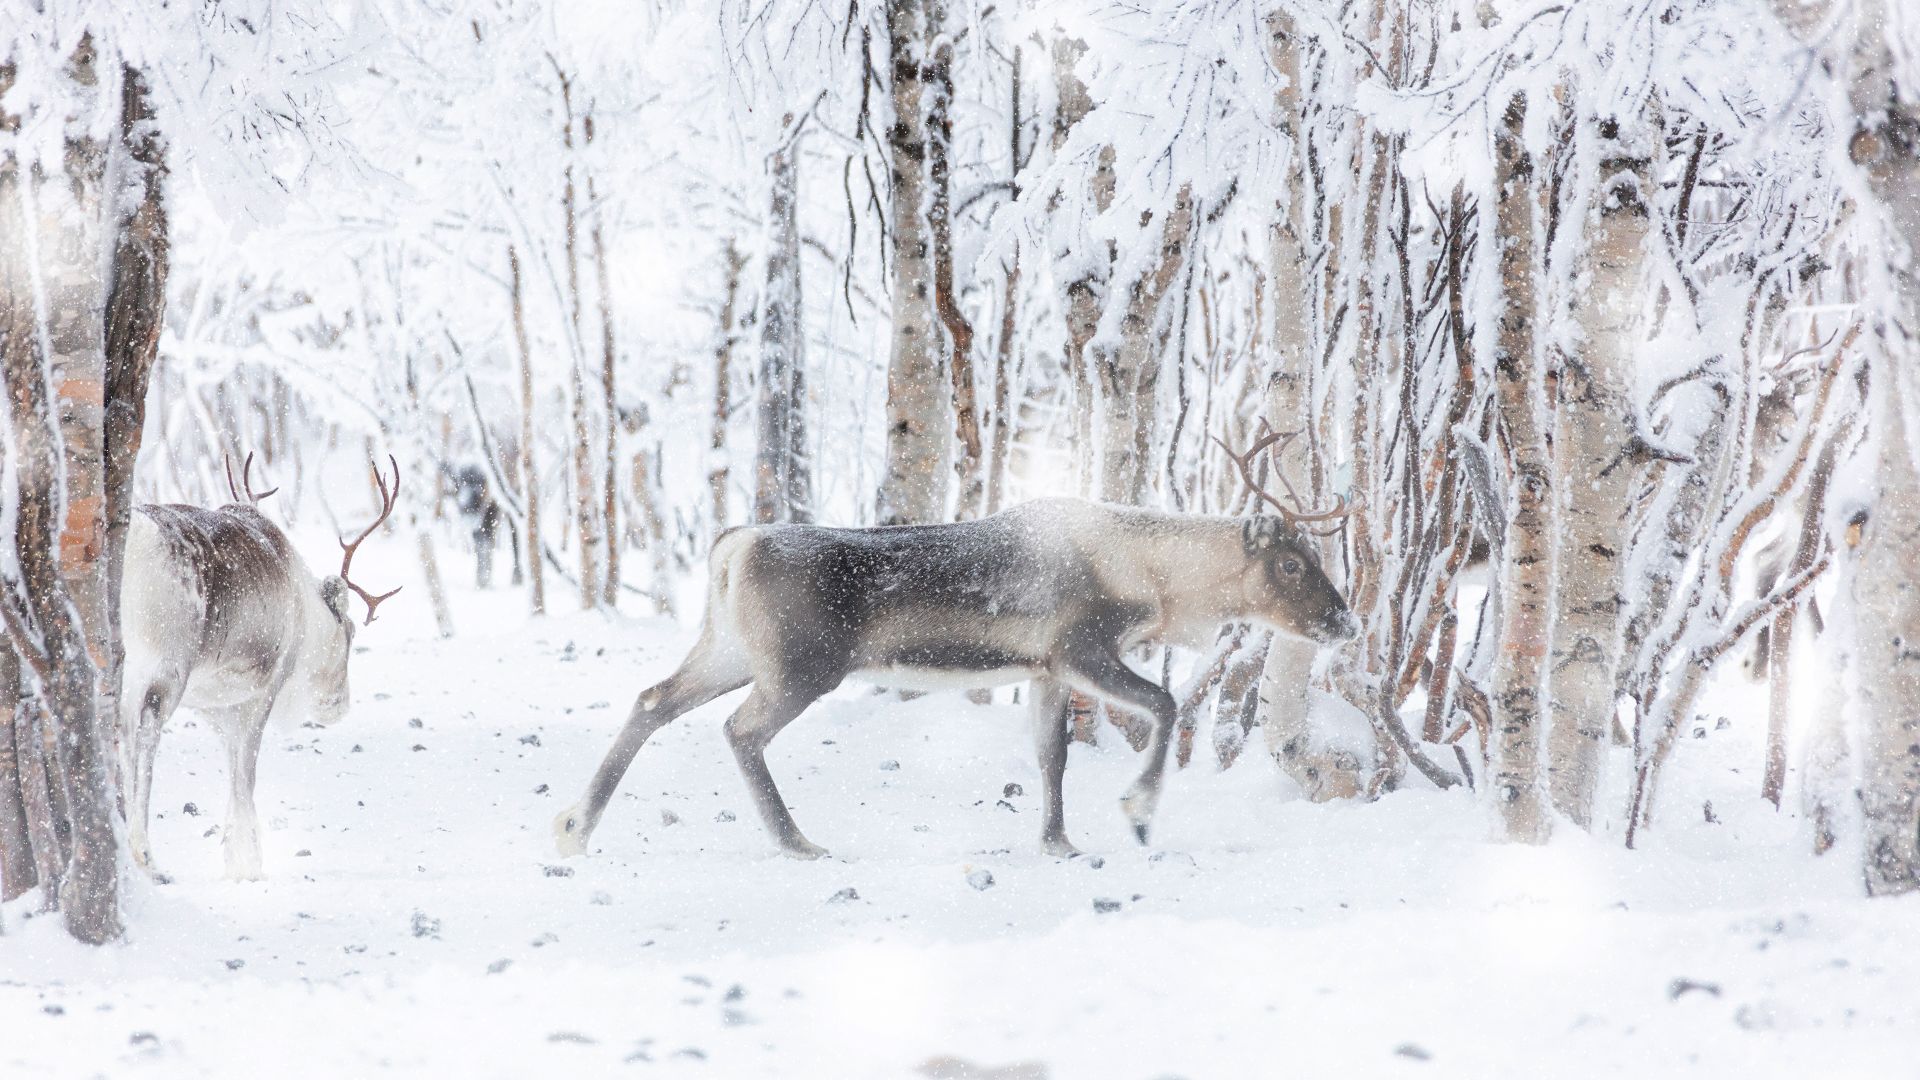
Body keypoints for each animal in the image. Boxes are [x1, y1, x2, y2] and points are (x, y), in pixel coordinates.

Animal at [117, 454, 402, 881]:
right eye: (350, 632)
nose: (339, 705)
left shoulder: (217, 706)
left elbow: (234, 769)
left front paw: (235, 856)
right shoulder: (264, 690)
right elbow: (246, 775)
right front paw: (249, 864)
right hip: (161, 666)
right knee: (142, 733)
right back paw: (145, 856)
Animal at [554, 426, 1357, 861]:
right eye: (1291, 564)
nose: (1345, 622)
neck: (1157, 578)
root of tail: (731, 545)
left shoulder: (1044, 668)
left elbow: (1051, 755)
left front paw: (1059, 842)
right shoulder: (1082, 646)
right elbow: (1162, 703)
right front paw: (1136, 813)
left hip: (728, 651)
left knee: (653, 699)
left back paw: (574, 828)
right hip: (800, 667)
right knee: (739, 729)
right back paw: (796, 842)